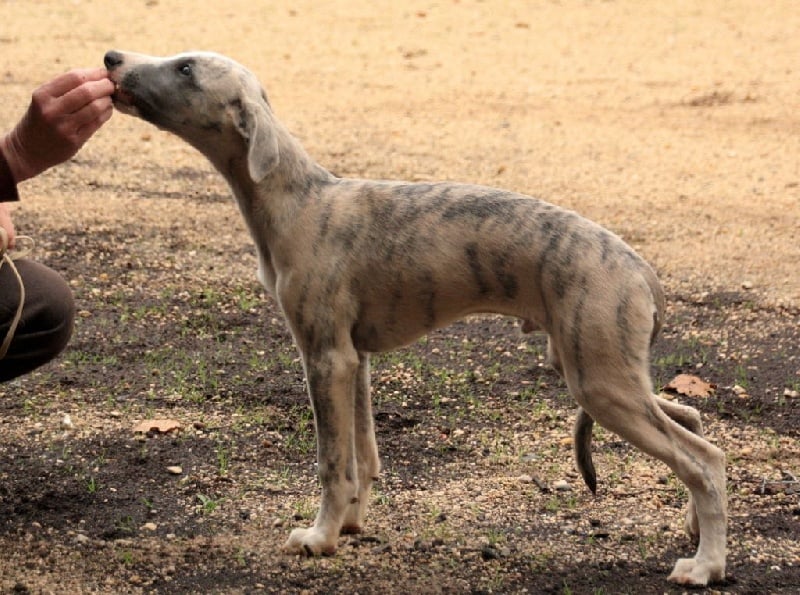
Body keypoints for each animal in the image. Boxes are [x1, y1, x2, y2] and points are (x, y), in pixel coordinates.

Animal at [104, 50, 727, 586]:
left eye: (186, 68)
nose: (111, 58)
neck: (300, 200)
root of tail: (641, 269)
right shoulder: (354, 360)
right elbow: (362, 458)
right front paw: (350, 526)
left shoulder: (325, 357)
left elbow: (332, 462)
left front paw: (319, 539)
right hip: (597, 370)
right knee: (692, 420)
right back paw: (694, 529)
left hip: (598, 381)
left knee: (705, 460)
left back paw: (705, 565)